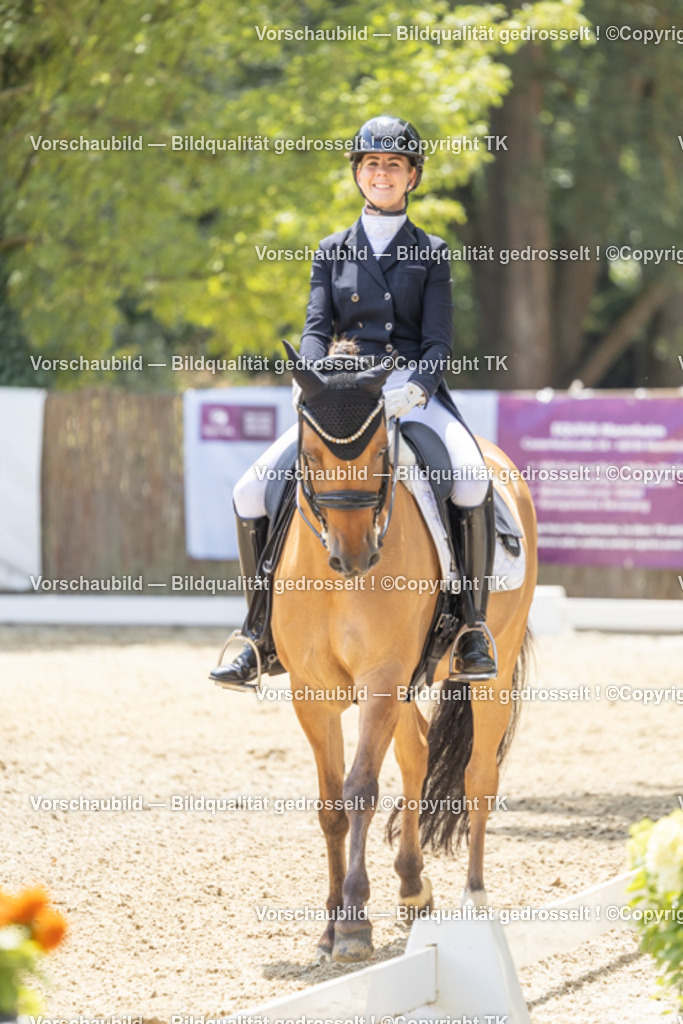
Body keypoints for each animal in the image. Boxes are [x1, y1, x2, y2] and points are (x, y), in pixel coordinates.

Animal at [270, 342, 537, 963]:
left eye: (378, 452)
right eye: (310, 454)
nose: (354, 556)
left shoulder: (381, 678)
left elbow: (361, 789)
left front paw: (352, 925)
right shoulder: (311, 693)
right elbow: (331, 805)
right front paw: (329, 926)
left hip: (490, 673)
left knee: (478, 776)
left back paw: (473, 899)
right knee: (416, 755)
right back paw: (414, 886)